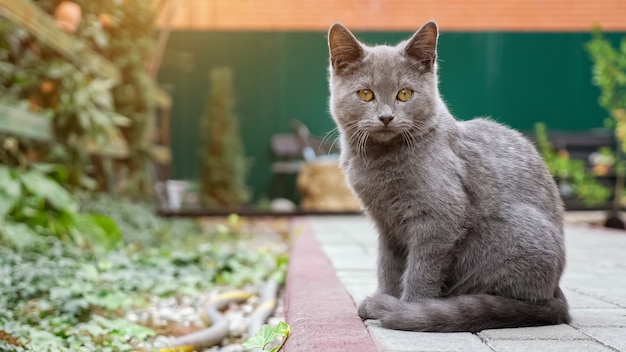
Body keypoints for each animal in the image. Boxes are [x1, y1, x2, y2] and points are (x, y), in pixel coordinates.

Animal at [326, 20, 572, 332]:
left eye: (405, 94)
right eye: (366, 94)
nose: (386, 117)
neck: (380, 163)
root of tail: (557, 292)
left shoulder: (439, 217)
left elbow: (421, 269)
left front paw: (408, 309)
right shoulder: (386, 225)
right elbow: (388, 267)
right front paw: (386, 297)